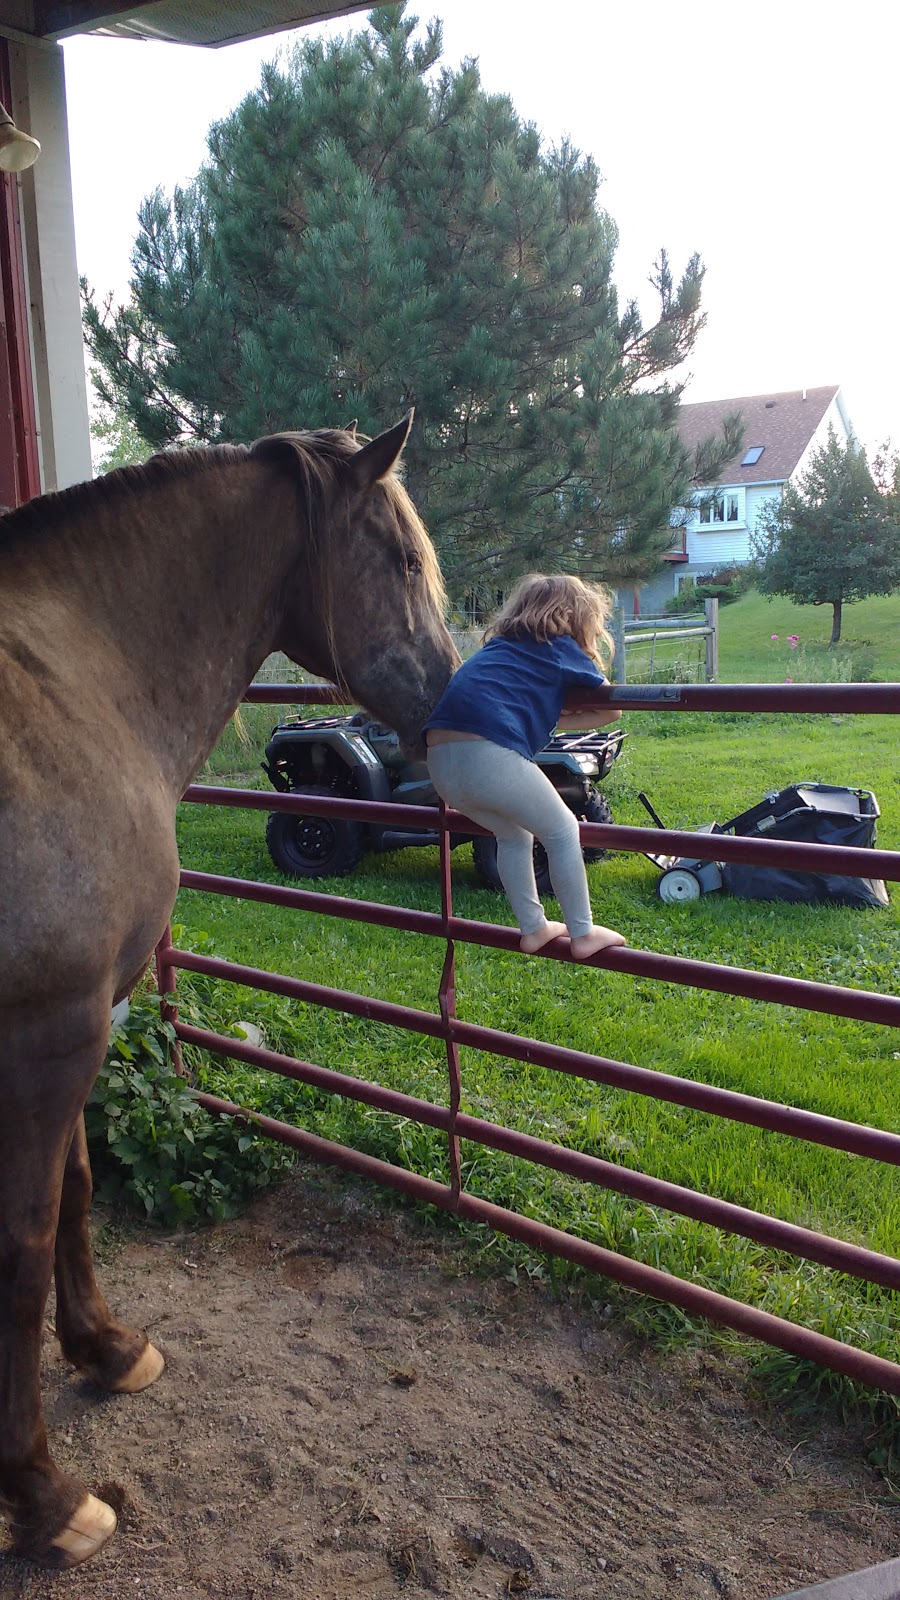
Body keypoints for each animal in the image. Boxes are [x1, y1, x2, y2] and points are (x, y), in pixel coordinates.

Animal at [0, 413, 458, 1567]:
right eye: (402, 560)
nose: (452, 700)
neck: (68, 685)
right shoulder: (50, 1032)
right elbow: (22, 1244)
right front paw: (45, 1496)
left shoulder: (86, 1023)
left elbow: (77, 1184)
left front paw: (108, 1348)